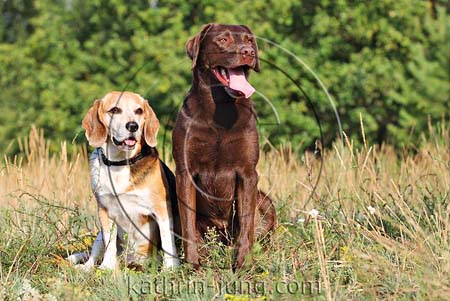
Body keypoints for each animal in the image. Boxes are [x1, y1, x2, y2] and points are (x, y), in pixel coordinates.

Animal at [67, 91, 178, 270]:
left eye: (139, 111)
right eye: (114, 110)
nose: (133, 126)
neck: (120, 163)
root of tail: (130, 260)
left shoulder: (161, 210)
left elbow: (167, 241)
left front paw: (170, 269)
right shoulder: (104, 210)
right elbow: (110, 243)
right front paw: (107, 267)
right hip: (98, 236)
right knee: (94, 255)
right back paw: (86, 268)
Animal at [173, 22, 276, 268]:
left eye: (249, 40)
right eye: (223, 40)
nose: (248, 52)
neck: (220, 107)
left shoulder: (248, 173)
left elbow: (247, 224)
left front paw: (243, 265)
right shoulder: (184, 172)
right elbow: (188, 225)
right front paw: (192, 265)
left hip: (266, 202)